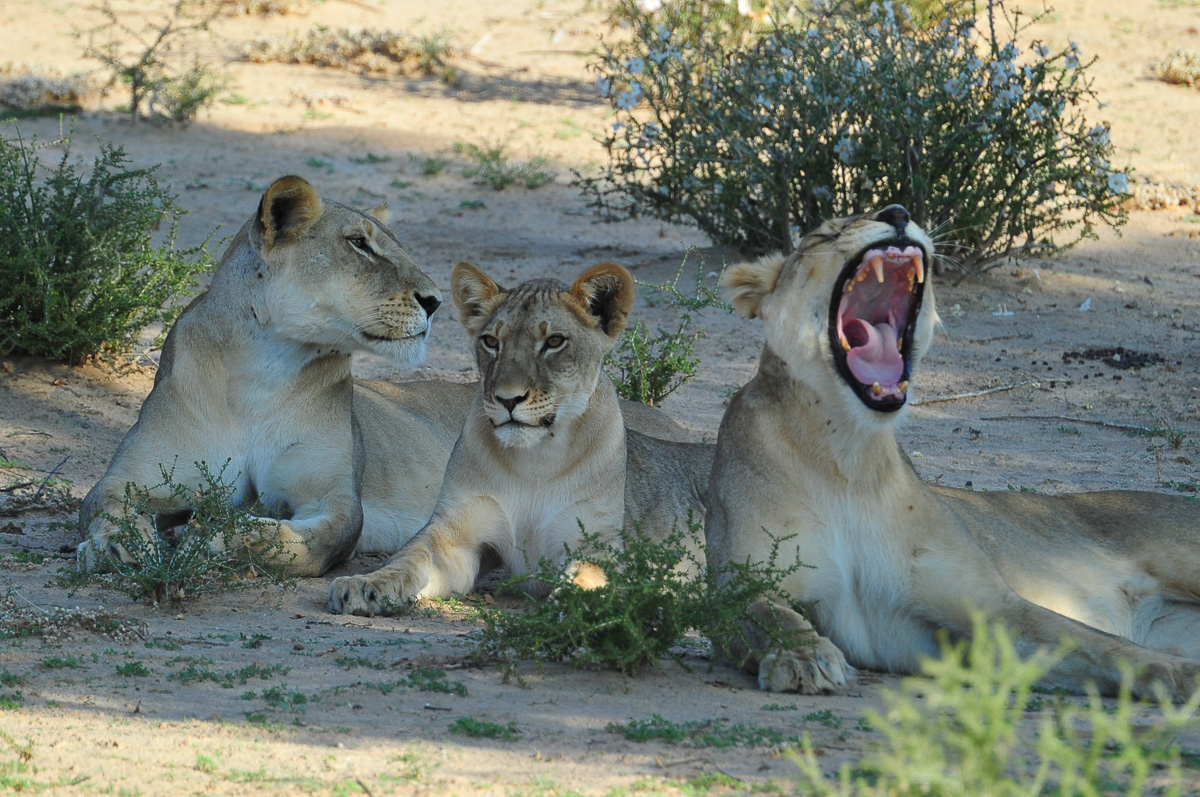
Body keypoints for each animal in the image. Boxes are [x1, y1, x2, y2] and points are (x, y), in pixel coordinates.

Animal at [328, 262, 713, 615]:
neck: (535, 460)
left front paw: (573, 606)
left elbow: (587, 575)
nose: (508, 399)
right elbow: (408, 557)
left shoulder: (595, 542)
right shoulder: (456, 533)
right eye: (491, 341)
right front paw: (364, 585)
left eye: (554, 342)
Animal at [705, 205, 1200, 700]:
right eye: (823, 235)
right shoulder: (743, 583)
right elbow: (761, 613)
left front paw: (1183, 676)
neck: (848, 455)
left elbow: (1098, 644)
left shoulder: (990, 605)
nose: (897, 213)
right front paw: (802, 656)